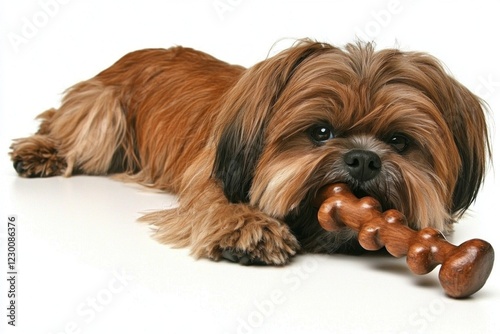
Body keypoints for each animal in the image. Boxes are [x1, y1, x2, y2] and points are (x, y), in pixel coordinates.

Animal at [10, 39, 488, 264]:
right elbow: (220, 203)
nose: (363, 159)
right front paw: (250, 228)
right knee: (62, 125)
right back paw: (39, 152)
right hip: (103, 113)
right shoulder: (211, 179)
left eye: (398, 142)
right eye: (321, 131)